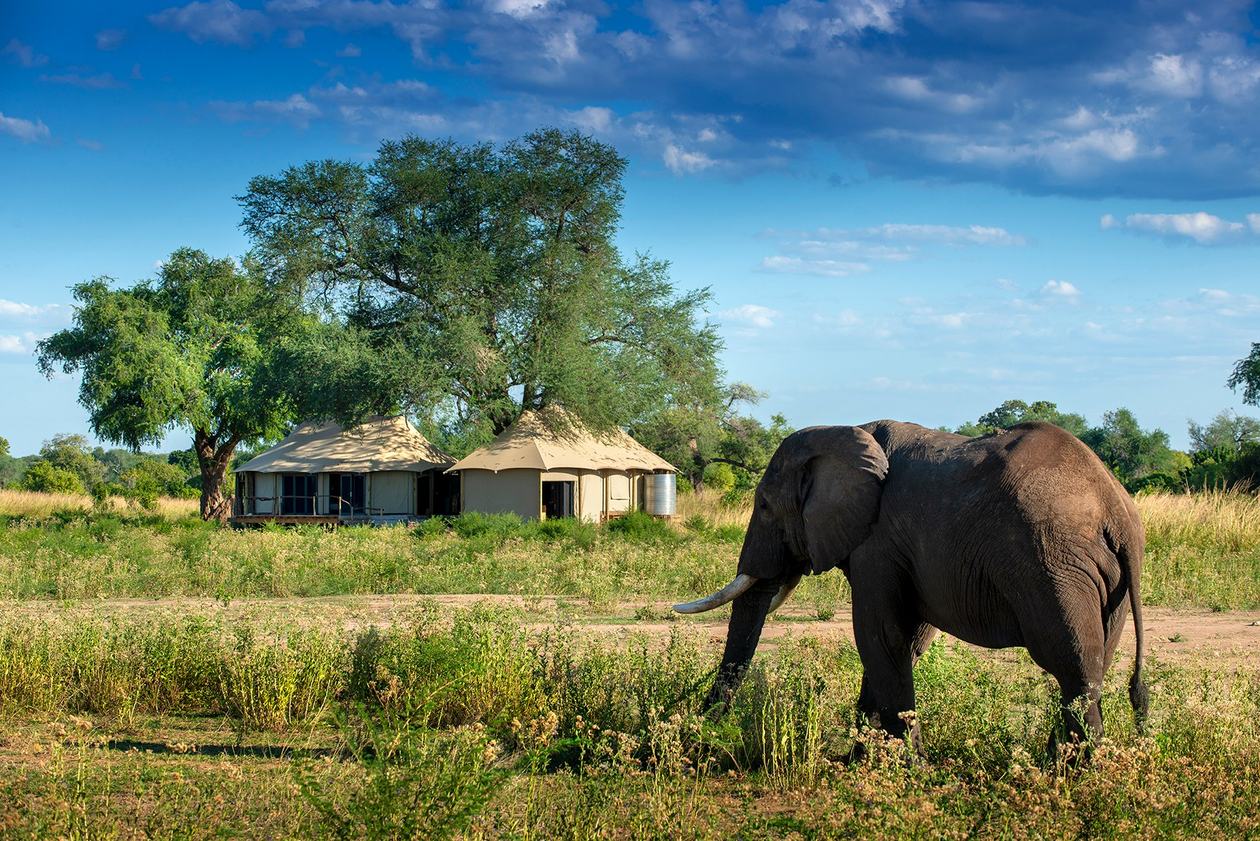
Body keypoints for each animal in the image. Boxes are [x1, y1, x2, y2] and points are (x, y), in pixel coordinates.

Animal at [675, 420, 1148, 755]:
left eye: (764, 506)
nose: (701, 738)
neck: (846, 430)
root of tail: (1116, 511)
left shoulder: (878, 543)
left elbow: (880, 635)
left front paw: (908, 767)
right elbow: (907, 640)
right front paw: (862, 761)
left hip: (1053, 564)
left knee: (1073, 662)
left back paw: (1075, 772)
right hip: (1105, 583)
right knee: (1096, 659)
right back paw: (1055, 762)